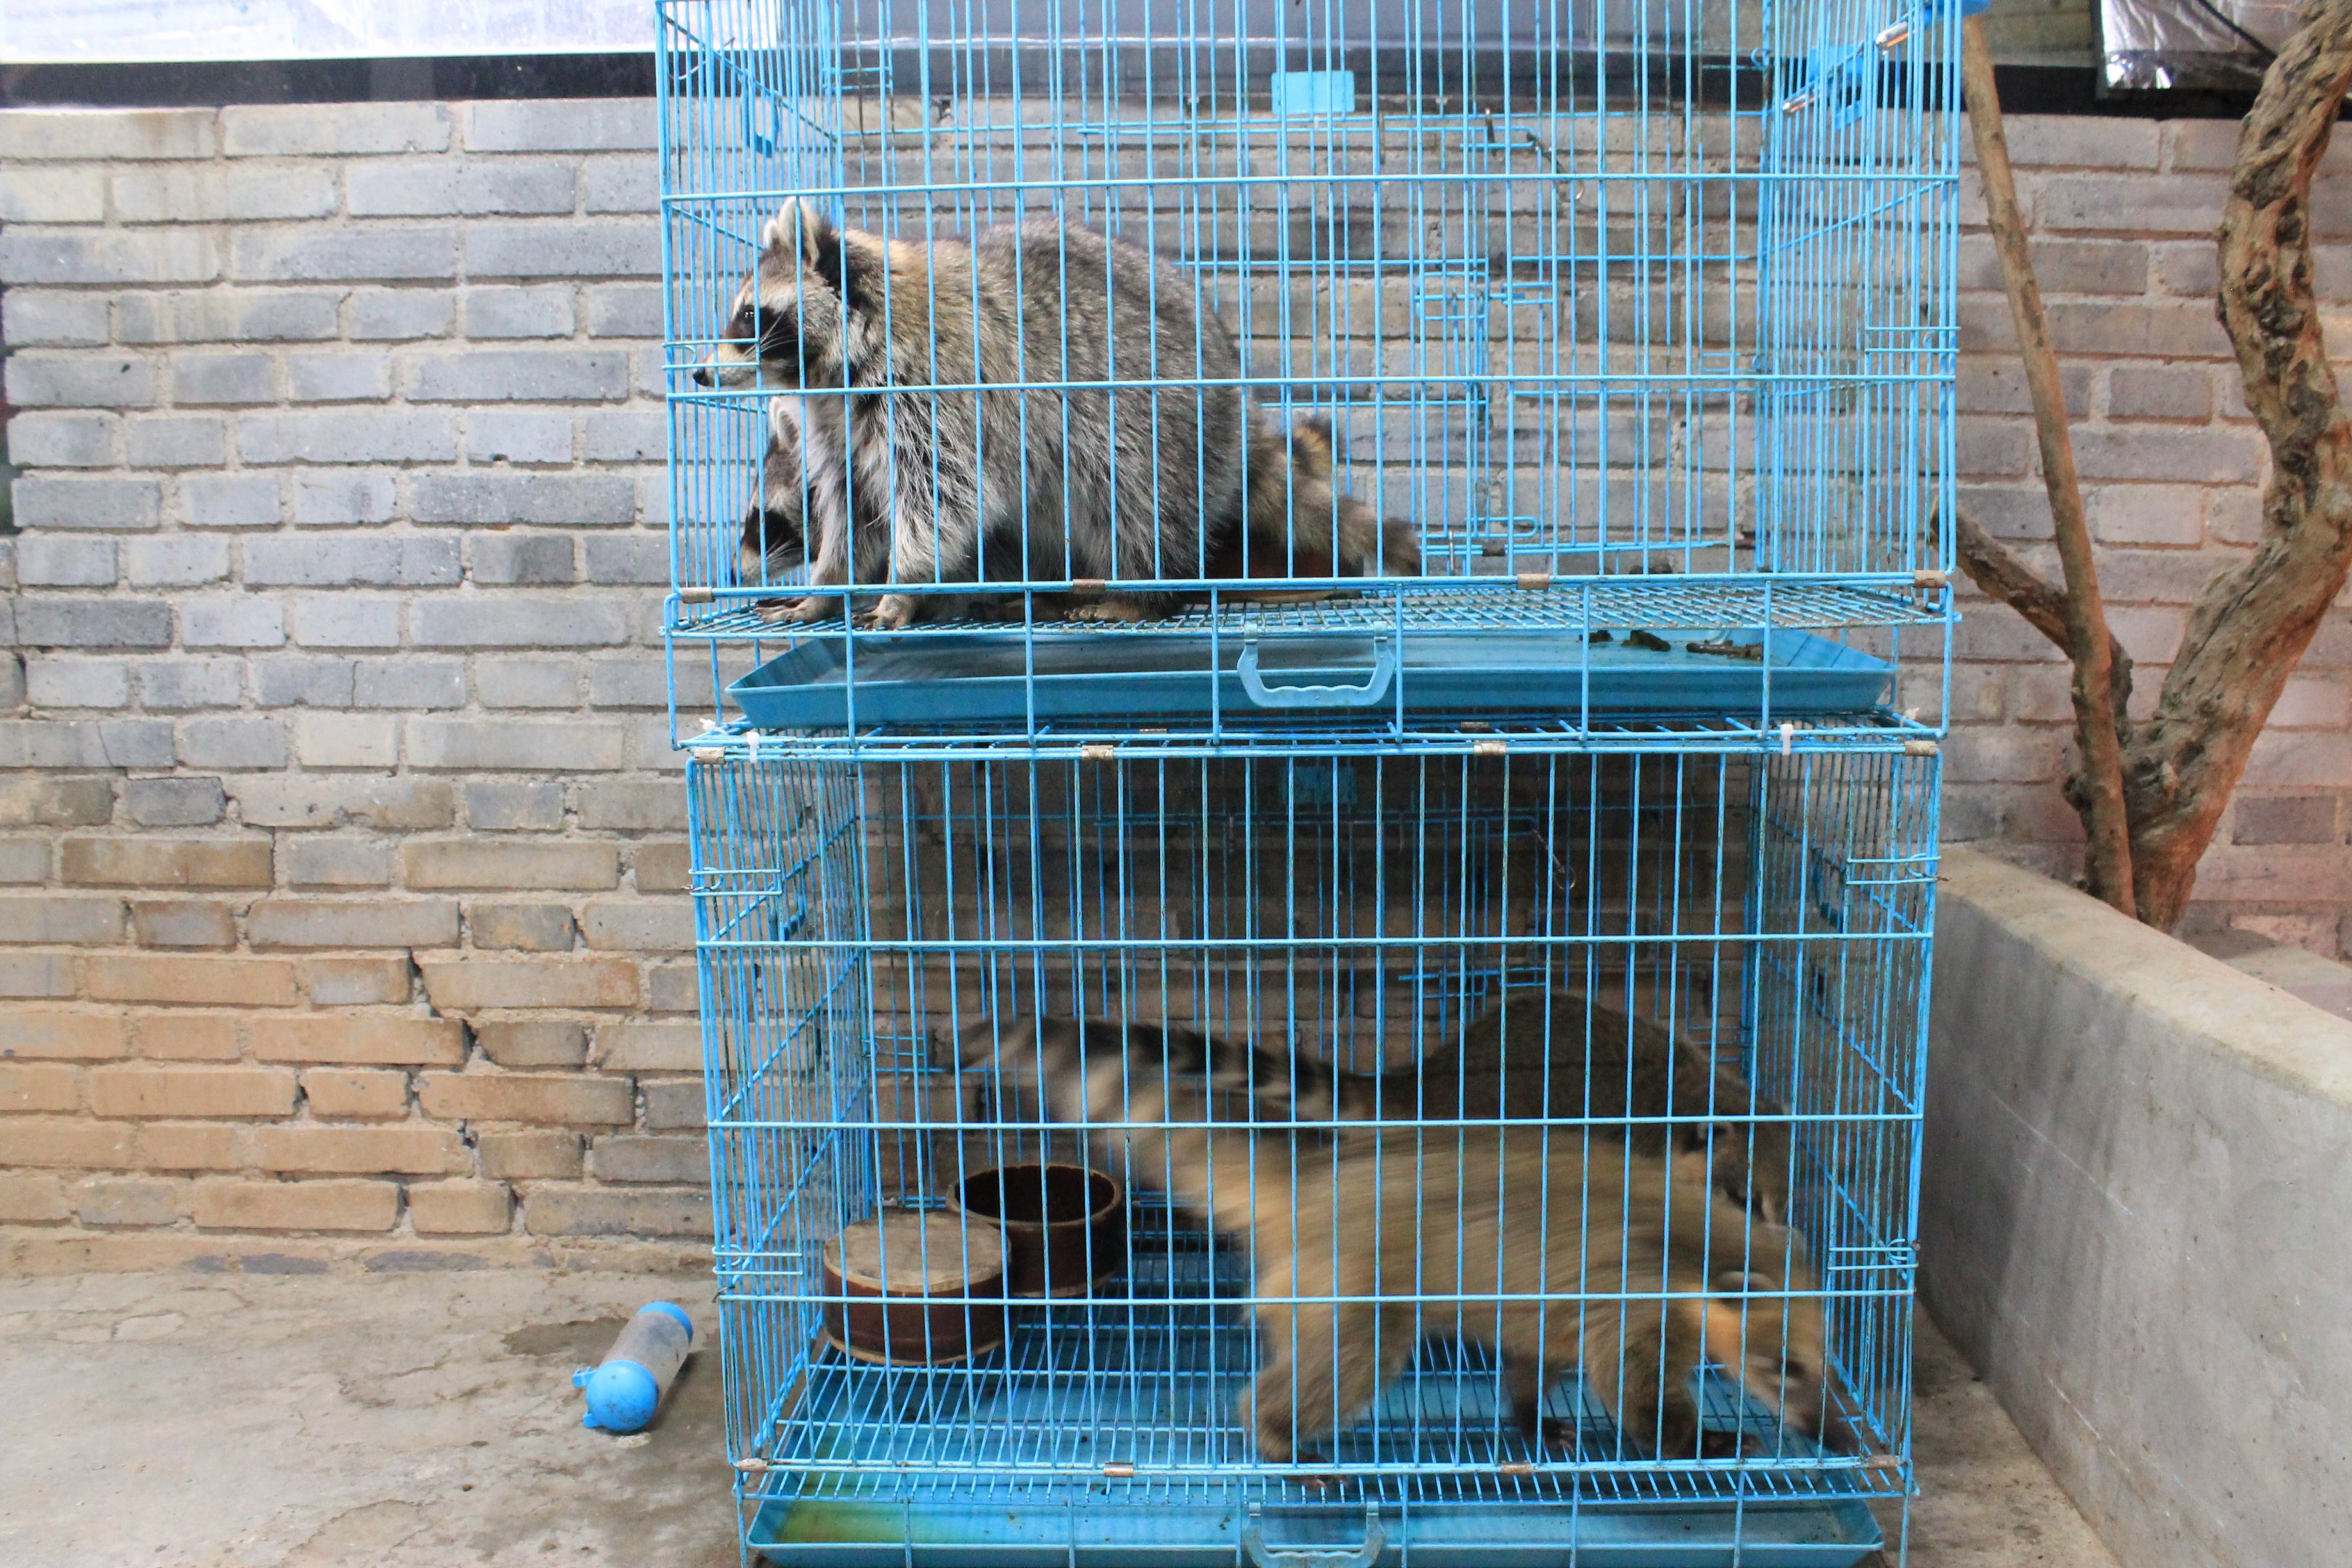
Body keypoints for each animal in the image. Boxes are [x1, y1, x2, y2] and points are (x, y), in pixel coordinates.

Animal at [695, 199, 1249, 628]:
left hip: (1159, 421)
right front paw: (829, 586)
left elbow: (941, 498)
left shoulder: (934, 389)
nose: (699, 374)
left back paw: (1143, 594)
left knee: (1140, 508)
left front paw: (904, 585)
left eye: (750, 315)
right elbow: (854, 506)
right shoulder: (838, 422)